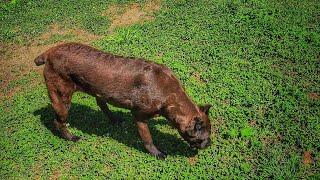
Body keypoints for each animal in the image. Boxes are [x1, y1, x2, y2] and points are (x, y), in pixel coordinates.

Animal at [35, 43, 211, 160]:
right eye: (201, 139)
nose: (209, 144)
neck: (169, 94)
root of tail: (49, 53)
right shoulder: (139, 117)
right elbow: (148, 139)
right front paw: (157, 153)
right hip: (62, 100)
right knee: (58, 122)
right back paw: (71, 137)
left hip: (98, 92)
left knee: (101, 104)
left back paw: (114, 119)